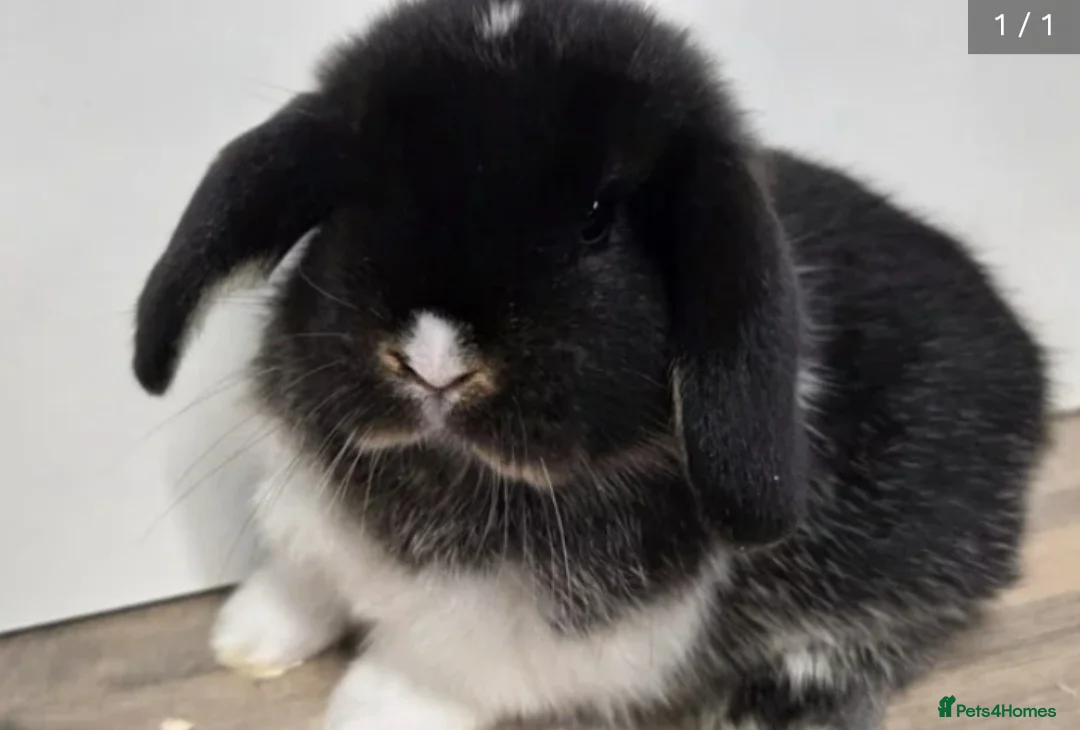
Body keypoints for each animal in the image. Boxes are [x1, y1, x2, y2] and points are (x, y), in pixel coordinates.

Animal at [130, 0, 1051, 728]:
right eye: (358, 201)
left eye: (598, 221)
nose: (435, 363)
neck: (440, 470)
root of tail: (1028, 359)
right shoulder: (312, 516)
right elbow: (304, 576)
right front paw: (246, 639)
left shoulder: (529, 629)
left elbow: (437, 667)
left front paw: (363, 712)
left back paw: (770, 707)